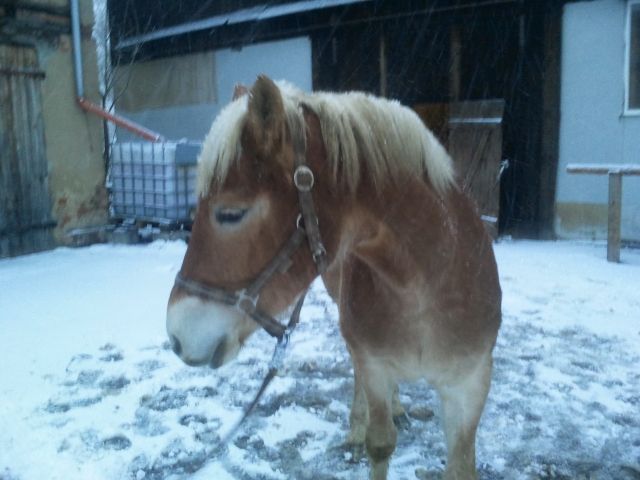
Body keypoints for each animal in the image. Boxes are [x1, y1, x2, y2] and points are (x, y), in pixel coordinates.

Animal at [166, 75, 501, 480]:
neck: (426, 287)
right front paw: (364, 430)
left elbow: (461, 464)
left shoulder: (471, 384)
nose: (176, 336)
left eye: (230, 214)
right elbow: (380, 442)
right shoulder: (375, 366)